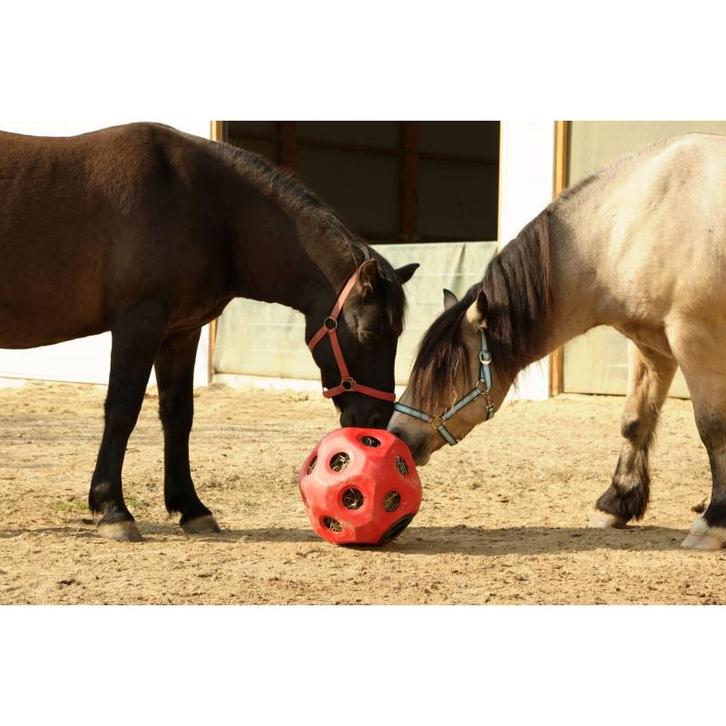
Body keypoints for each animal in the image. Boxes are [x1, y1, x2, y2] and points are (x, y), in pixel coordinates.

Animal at [0, 122, 418, 541]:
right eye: (370, 334)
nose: (377, 421)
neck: (209, 205)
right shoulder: (139, 322)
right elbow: (122, 410)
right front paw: (112, 509)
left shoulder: (181, 333)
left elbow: (178, 414)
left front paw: (191, 508)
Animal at [389, 132, 726, 550]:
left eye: (444, 371)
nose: (397, 434)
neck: (633, 221)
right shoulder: (650, 346)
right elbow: (634, 420)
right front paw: (615, 503)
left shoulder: (694, 339)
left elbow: (712, 428)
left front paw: (713, 523)